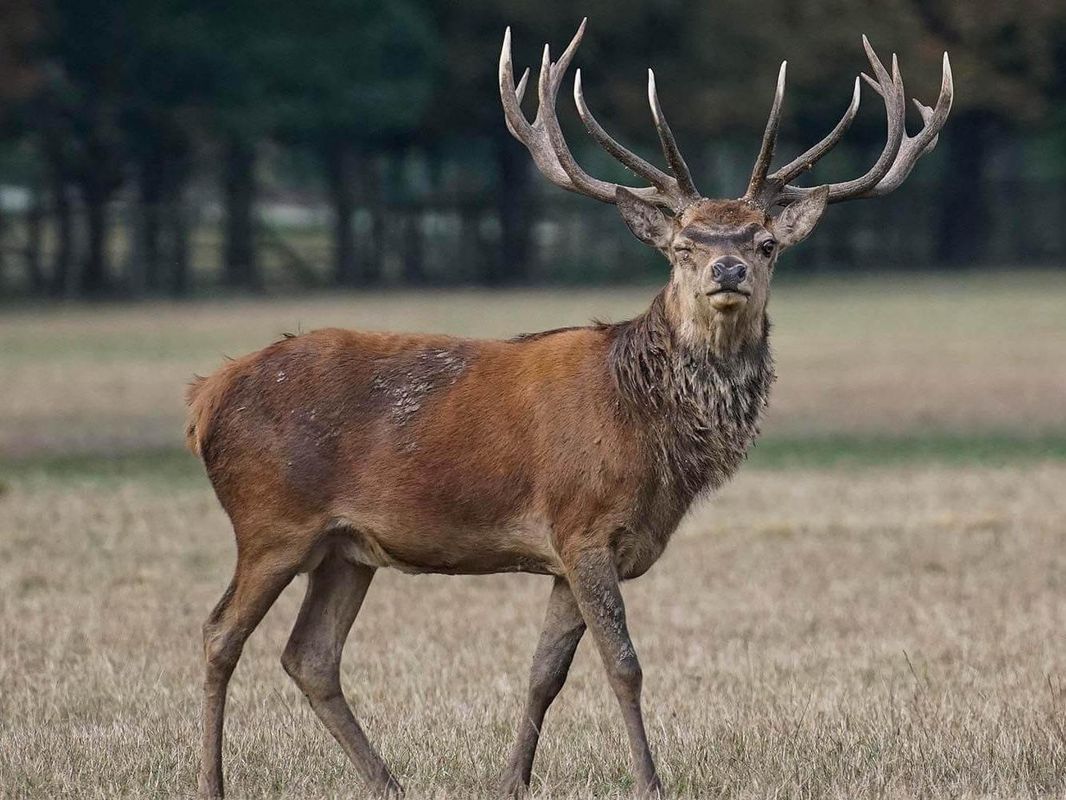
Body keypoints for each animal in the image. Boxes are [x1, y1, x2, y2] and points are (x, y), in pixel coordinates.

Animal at [187, 19, 952, 799]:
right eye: (684, 245)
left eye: (766, 243)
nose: (728, 269)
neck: (648, 435)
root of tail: (208, 396)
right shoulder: (583, 525)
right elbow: (624, 666)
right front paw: (649, 781)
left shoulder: (565, 555)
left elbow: (544, 674)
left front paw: (512, 780)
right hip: (272, 521)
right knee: (220, 634)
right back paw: (214, 781)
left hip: (344, 547)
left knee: (309, 655)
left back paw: (389, 783)